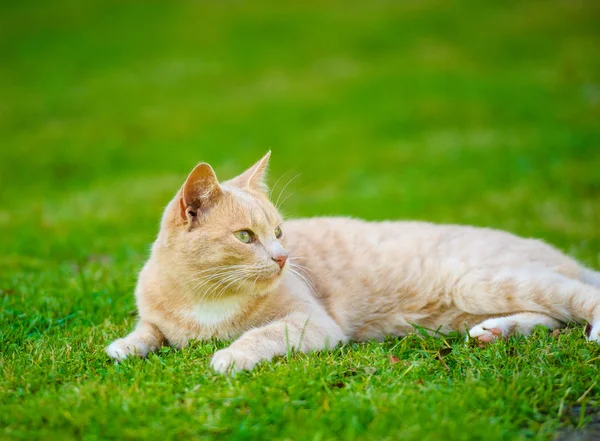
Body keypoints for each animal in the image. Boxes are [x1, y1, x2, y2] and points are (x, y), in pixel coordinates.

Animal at [105, 151, 600, 372]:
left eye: (278, 232)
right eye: (246, 237)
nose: (283, 258)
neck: (208, 297)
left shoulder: (312, 323)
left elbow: (262, 335)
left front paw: (231, 355)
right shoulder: (155, 316)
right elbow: (148, 331)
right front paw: (125, 346)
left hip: (480, 282)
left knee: (579, 297)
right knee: (552, 316)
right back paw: (494, 332)